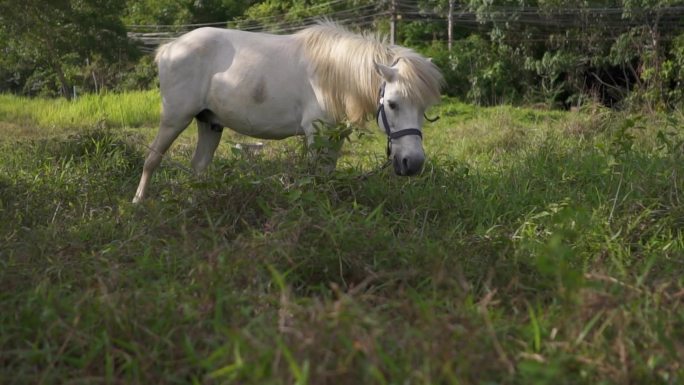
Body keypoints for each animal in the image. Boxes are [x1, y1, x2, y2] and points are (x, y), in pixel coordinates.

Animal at [133, 21, 444, 202]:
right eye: (392, 103)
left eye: (424, 109)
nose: (413, 163)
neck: (332, 73)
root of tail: (170, 47)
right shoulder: (316, 133)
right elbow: (316, 177)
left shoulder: (333, 135)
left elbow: (327, 175)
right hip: (175, 118)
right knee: (152, 160)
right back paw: (138, 204)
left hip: (210, 123)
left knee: (198, 168)